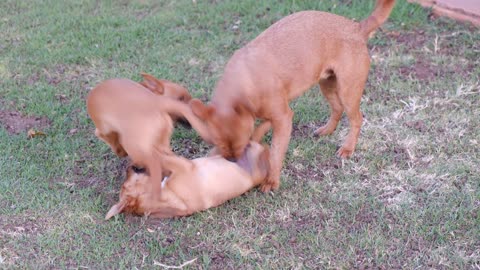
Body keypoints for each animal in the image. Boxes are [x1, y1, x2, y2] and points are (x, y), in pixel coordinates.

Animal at [189, 0, 396, 192]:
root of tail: (357, 27)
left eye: (240, 143)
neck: (245, 80)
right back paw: (326, 130)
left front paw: (271, 181)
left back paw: (348, 148)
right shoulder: (274, 115)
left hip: (348, 91)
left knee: (356, 119)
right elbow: (262, 129)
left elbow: (275, 153)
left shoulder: (283, 117)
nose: (233, 161)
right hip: (327, 84)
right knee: (337, 109)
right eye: (219, 144)